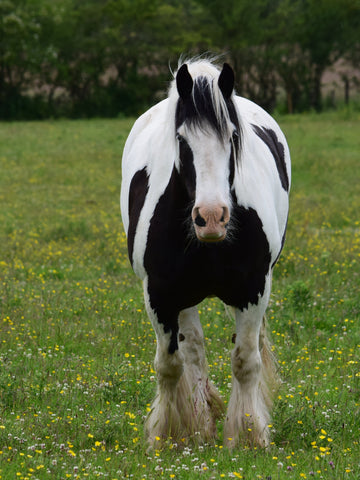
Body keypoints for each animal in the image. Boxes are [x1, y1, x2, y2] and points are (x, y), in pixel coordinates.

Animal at [120, 58, 290, 448]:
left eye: (233, 137)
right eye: (181, 140)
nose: (211, 217)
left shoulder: (253, 290)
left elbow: (245, 361)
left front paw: (248, 434)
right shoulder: (160, 295)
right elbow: (170, 365)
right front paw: (169, 434)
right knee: (193, 348)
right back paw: (201, 420)